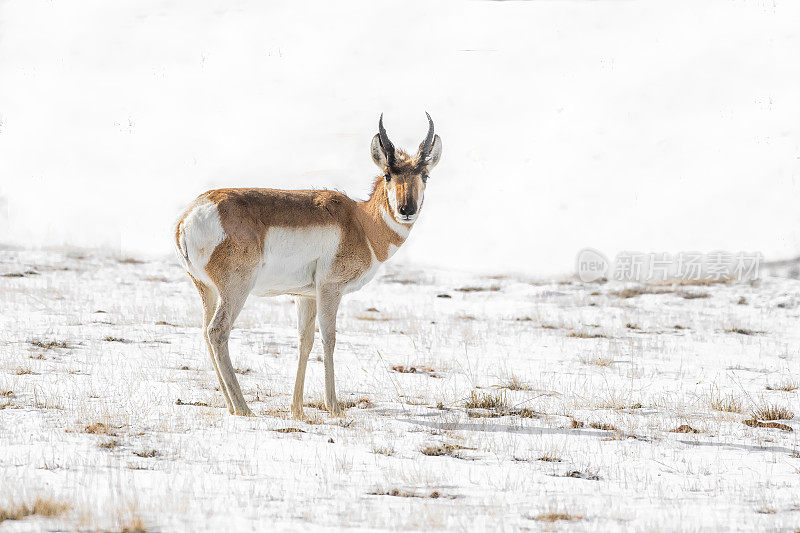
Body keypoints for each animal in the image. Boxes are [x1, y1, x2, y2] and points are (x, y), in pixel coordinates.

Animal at [173, 114, 444, 418]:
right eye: (388, 174)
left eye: (424, 174)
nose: (406, 210)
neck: (360, 221)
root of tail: (191, 215)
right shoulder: (330, 290)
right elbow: (328, 338)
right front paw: (334, 407)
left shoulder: (305, 296)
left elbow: (305, 342)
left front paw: (298, 409)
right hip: (236, 290)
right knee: (217, 332)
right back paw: (244, 408)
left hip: (207, 290)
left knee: (205, 331)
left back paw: (232, 407)